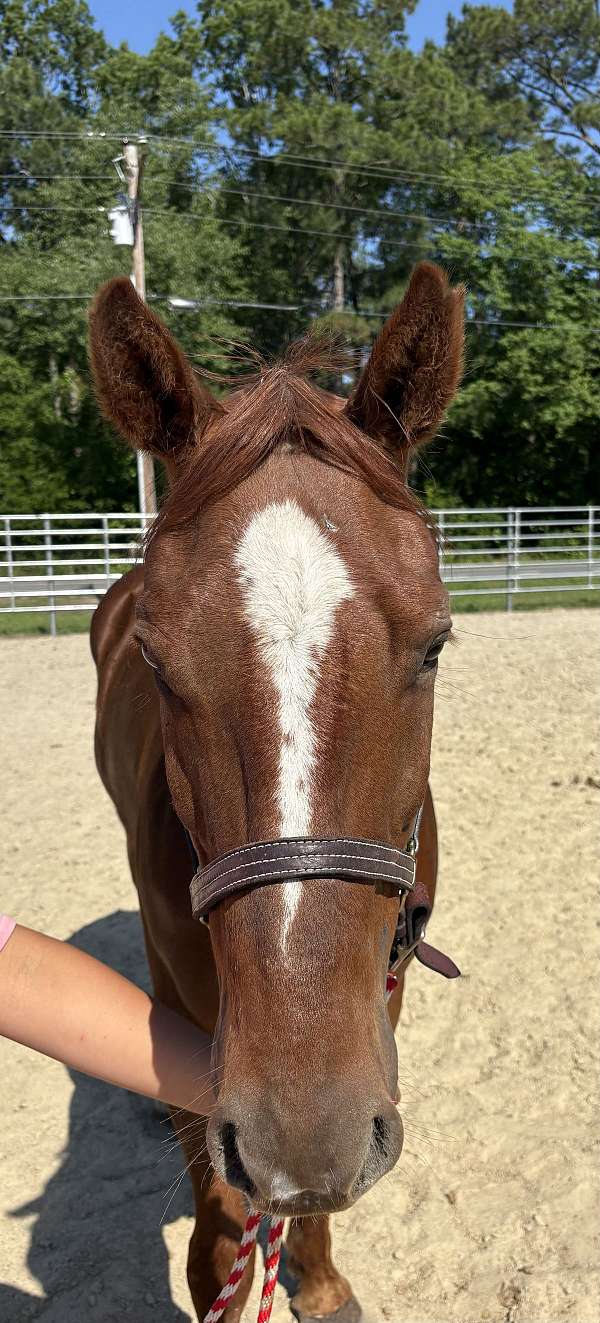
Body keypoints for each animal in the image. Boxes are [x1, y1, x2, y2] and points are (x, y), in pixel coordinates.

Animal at [89, 260, 464, 1323]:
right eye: (157, 661)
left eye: (435, 643)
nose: (304, 1135)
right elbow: (216, 1235)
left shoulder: (381, 997)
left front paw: (323, 1278)